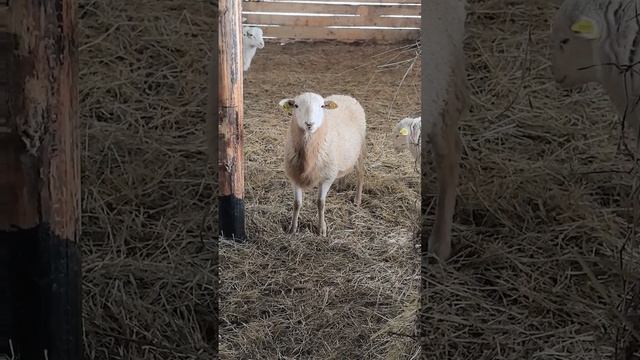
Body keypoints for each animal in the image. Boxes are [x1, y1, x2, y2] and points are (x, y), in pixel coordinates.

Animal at [278, 92, 368, 236]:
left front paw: (321, 229)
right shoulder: (294, 176)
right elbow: (297, 203)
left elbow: (320, 203)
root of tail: (345, 95)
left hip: (360, 151)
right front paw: (292, 228)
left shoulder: (327, 177)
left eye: (322, 106)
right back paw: (341, 185)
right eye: (296, 105)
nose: (309, 124)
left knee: (360, 174)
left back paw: (357, 200)